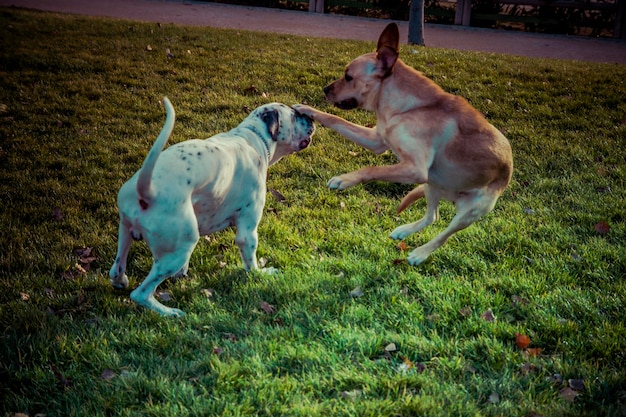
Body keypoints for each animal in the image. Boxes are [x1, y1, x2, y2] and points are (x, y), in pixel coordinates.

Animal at [108, 97, 312, 316]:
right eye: (294, 115)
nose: (310, 117)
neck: (252, 137)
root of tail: (147, 190)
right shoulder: (247, 231)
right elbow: (251, 264)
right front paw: (262, 274)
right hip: (179, 249)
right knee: (141, 294)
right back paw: (170, 312)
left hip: (126, 231)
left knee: (116, 270)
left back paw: (121, 281)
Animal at [294, 22, 512, 264]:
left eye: (348, 77)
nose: (325, 89)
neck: (406, 109)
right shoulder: (377, 140)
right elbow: (336, 119)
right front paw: (308, 109)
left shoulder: (415, 168)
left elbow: (372, 168)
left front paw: (345, 179)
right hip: (432, 185)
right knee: (432, 217)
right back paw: (403, 231)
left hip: (469, 211)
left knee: (444, 234)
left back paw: (420, 253)